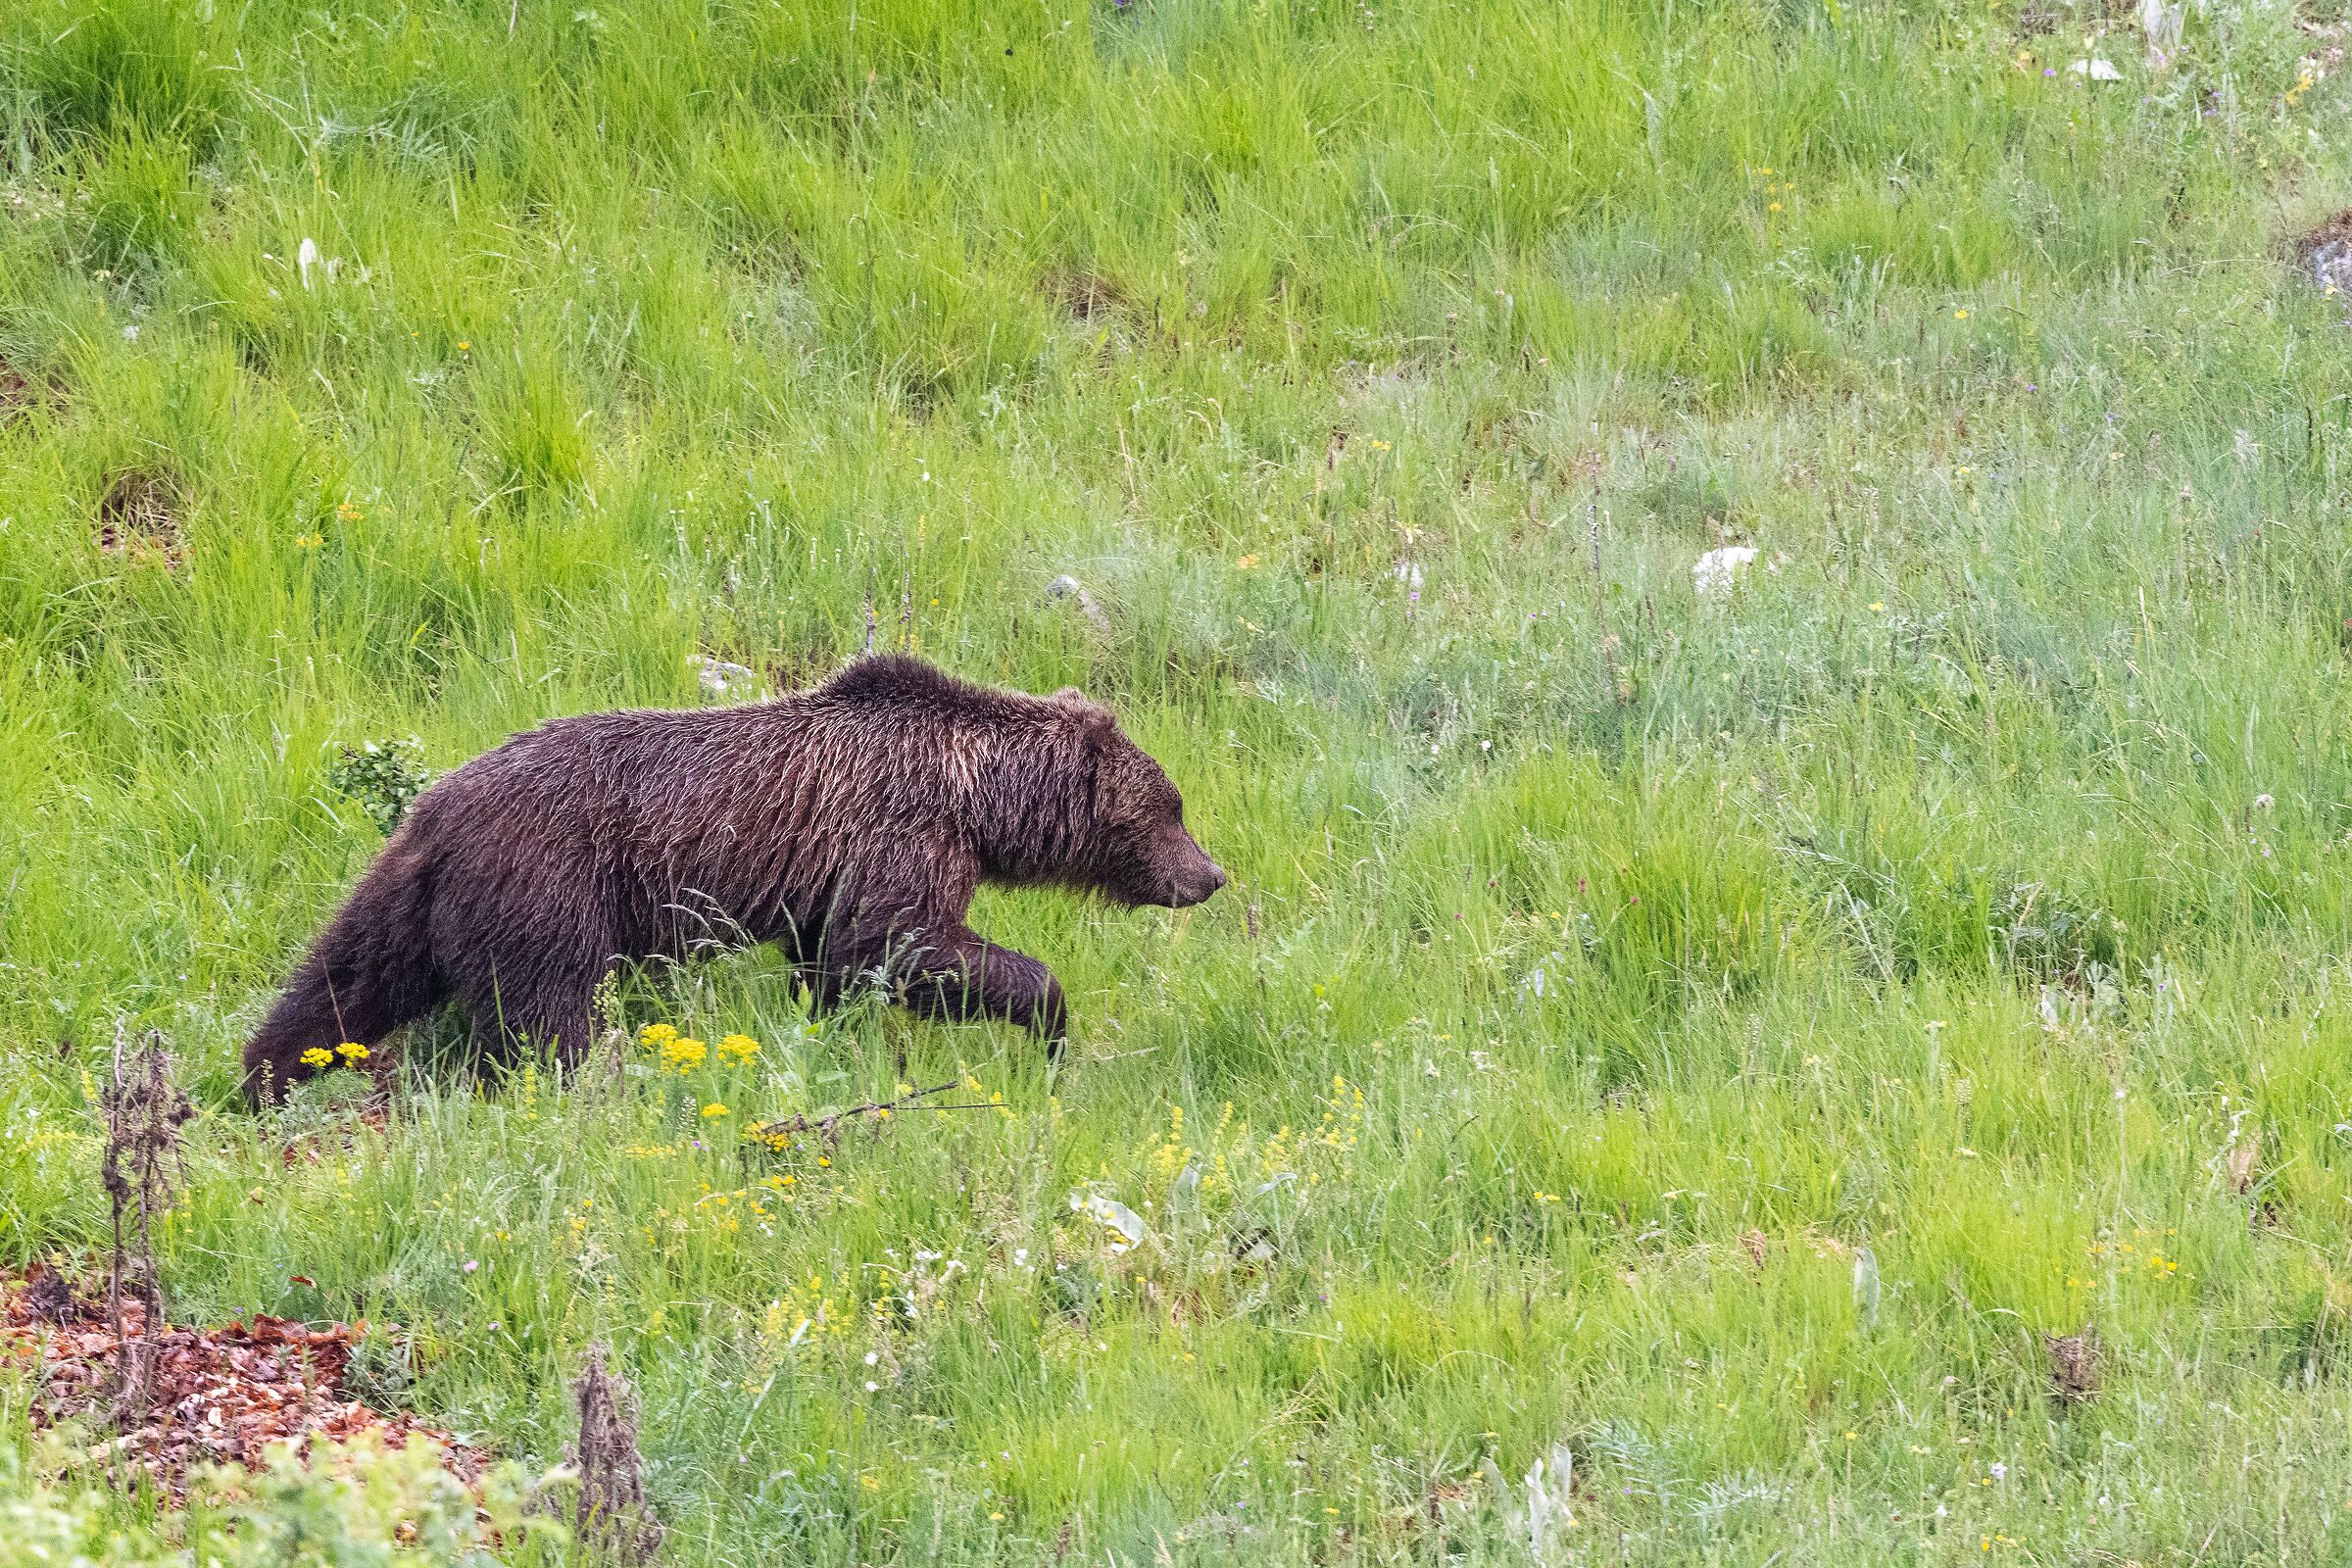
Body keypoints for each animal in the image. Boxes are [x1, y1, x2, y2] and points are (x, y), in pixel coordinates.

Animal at [241, 655, 1224, 1105]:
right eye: (1171, 807)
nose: (1211, 875)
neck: (976, 796)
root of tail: (437, 805)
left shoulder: (834, 876)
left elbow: (837, 965)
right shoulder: (902, 831)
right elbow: (908, 943)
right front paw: (1051, 1021)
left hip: (419, 891)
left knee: (347, 977)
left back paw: (266, 1076)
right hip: (548, 884)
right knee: (548, 1012)